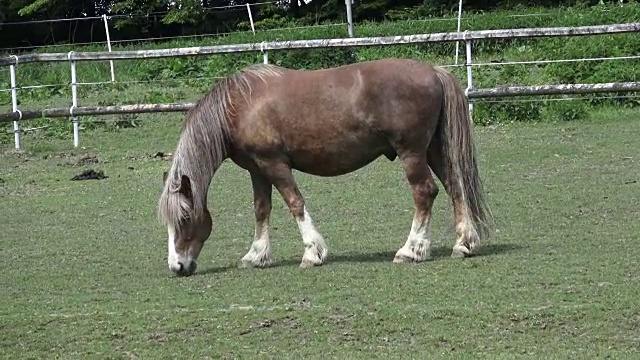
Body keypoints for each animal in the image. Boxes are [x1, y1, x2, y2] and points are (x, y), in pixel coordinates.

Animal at [158, 57, 492, 278]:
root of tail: (433, 71)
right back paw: (464, 244)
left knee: (425, 192)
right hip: (432, 150)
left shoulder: (274, 164)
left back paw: (411, 250)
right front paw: (256, 255)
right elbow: (261, 209)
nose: (178, 266)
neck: (239, 106)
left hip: (411, 153)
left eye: (184, 218)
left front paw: (313, 253)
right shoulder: (258, 169)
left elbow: (295, 203)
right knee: (454, 187)